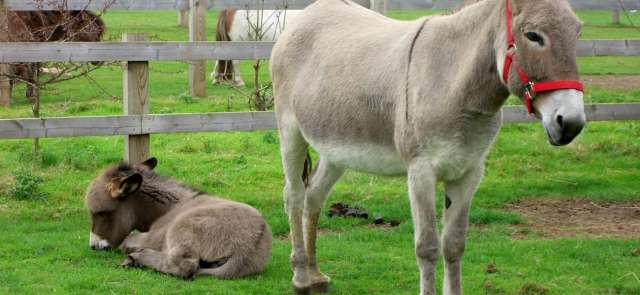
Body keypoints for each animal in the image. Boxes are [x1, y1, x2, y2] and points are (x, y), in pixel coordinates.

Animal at [84, 158, 270, 278]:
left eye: (101, 213)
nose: (94, 246)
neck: (170, 207)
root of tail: (247, 250)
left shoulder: (153, 237)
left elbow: (127, 242)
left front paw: (132, 251)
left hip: (181, 230)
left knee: (184, 266)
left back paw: (135, 258)